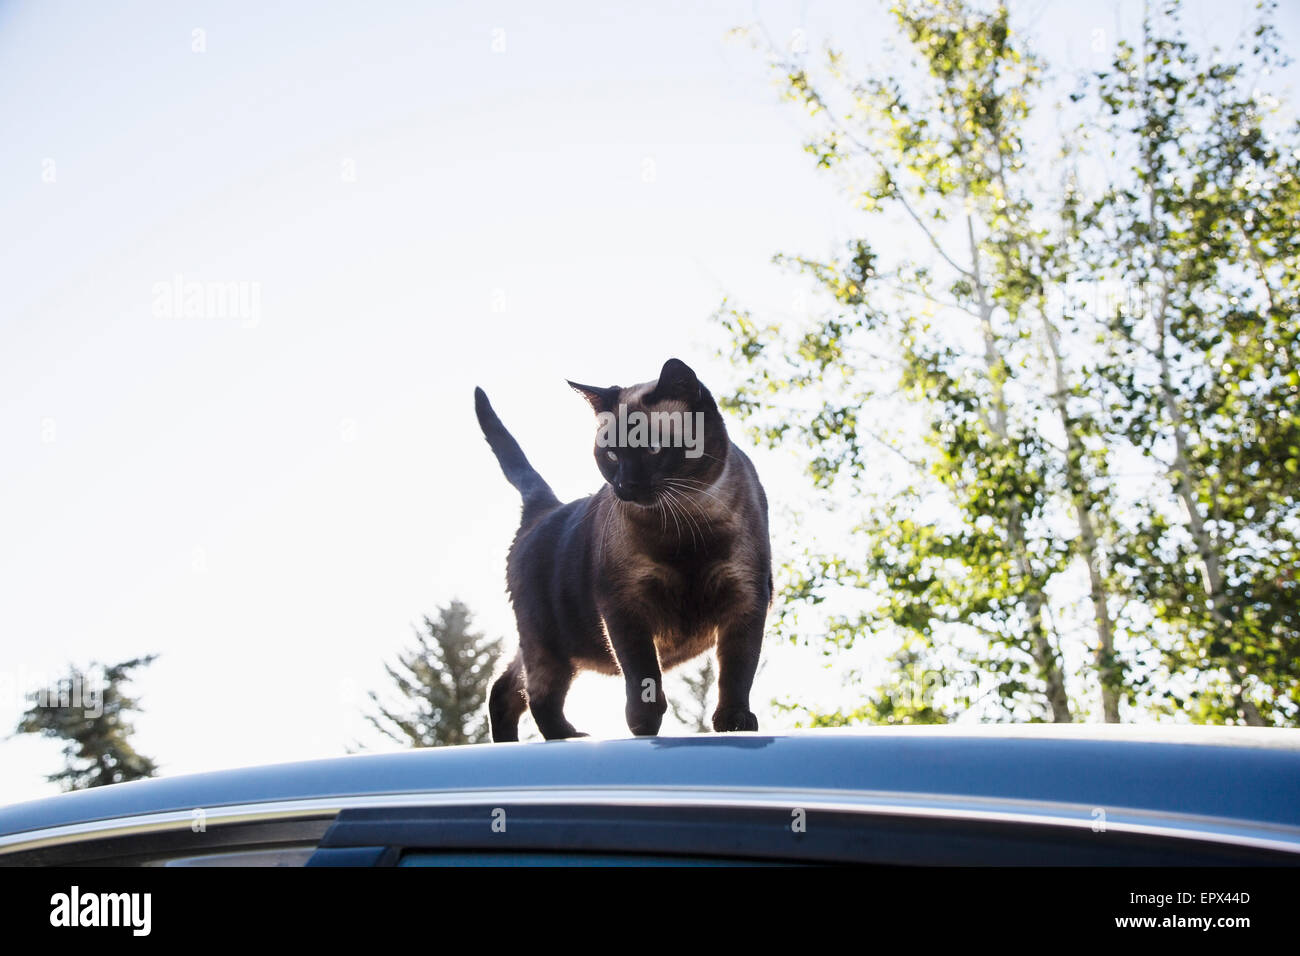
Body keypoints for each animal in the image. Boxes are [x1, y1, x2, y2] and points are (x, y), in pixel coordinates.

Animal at [483, 358, 774, 738]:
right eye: (610, 455)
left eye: (652, 448)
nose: (624, 486)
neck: (685, 523)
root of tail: (545, 507)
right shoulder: (625, 605)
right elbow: (642, 674)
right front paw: (643, 726)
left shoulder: (746, 597)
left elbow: (737, 672)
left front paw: (734, 722)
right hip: (551, 647)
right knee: (535, 695)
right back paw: (568, 736)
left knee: (507, 690)